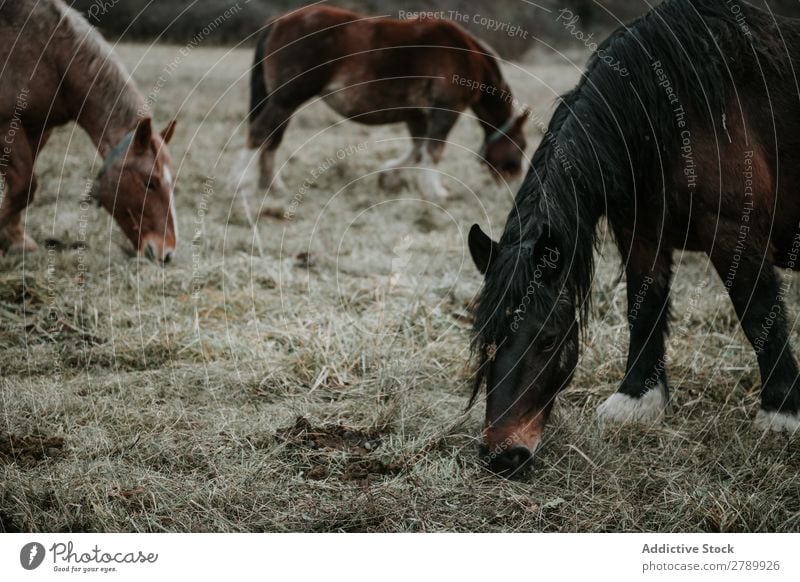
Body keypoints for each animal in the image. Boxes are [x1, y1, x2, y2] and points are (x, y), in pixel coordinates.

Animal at [0, 0, 178, 264]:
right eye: (150, 183)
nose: (166, 252)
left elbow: (21, 188)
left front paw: (15, 240)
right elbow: (24, 187)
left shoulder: (38, 129)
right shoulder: (6, 126)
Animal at [247, 4, 528, 203]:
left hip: (283, 103)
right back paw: (243, 186)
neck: (466, 55)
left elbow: (418, 150)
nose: (514, 185)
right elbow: (433, 151)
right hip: (286, 99)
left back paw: (272, 187)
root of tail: (278, 21)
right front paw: (435, 192)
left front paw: (387, 177)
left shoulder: (417, 115)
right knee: (259, 133)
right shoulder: (445, 110)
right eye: (522, 146)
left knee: (270, 139)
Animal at [468, 0, 800, 476]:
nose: (501, 455)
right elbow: (644, 308)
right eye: (486, 338)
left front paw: (780, 413)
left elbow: (757, 313)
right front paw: (636, 399)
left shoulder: (732, 231)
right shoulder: (640, 234)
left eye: (547, 338)